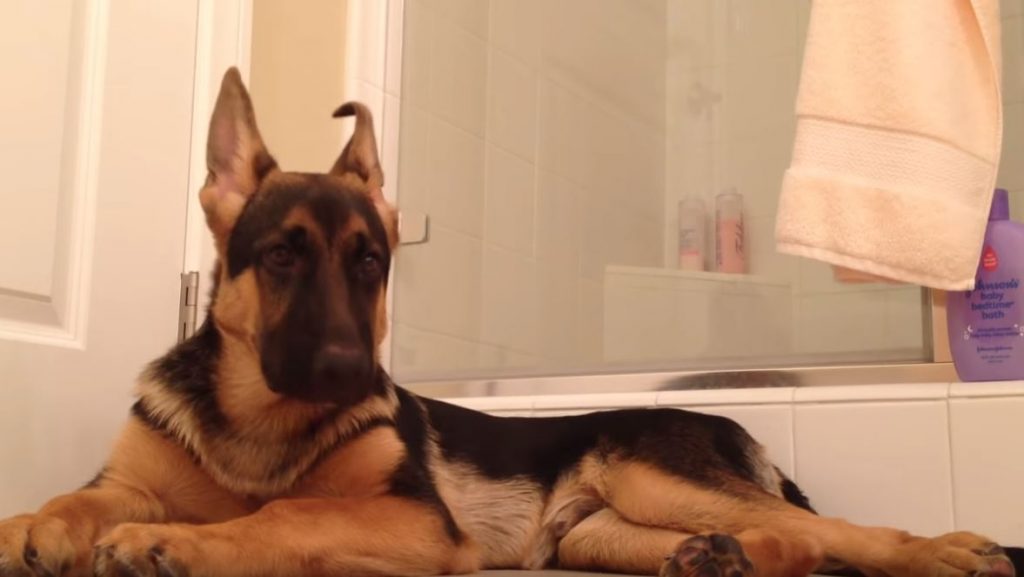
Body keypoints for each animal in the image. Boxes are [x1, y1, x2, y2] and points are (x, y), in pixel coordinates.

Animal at [4, 70, 1019, 577]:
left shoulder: (414, 520)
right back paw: (717, 559)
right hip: (593, 532)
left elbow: (288, 514)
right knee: (795, 542)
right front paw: (34, 523)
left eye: (369, 263)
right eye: (283, 257)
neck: (255, 414)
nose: (347, 371)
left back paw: (939, 550)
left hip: (653, 471)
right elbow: (81, 498)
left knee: (835, 531)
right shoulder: (128, 476)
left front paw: (176, 542)